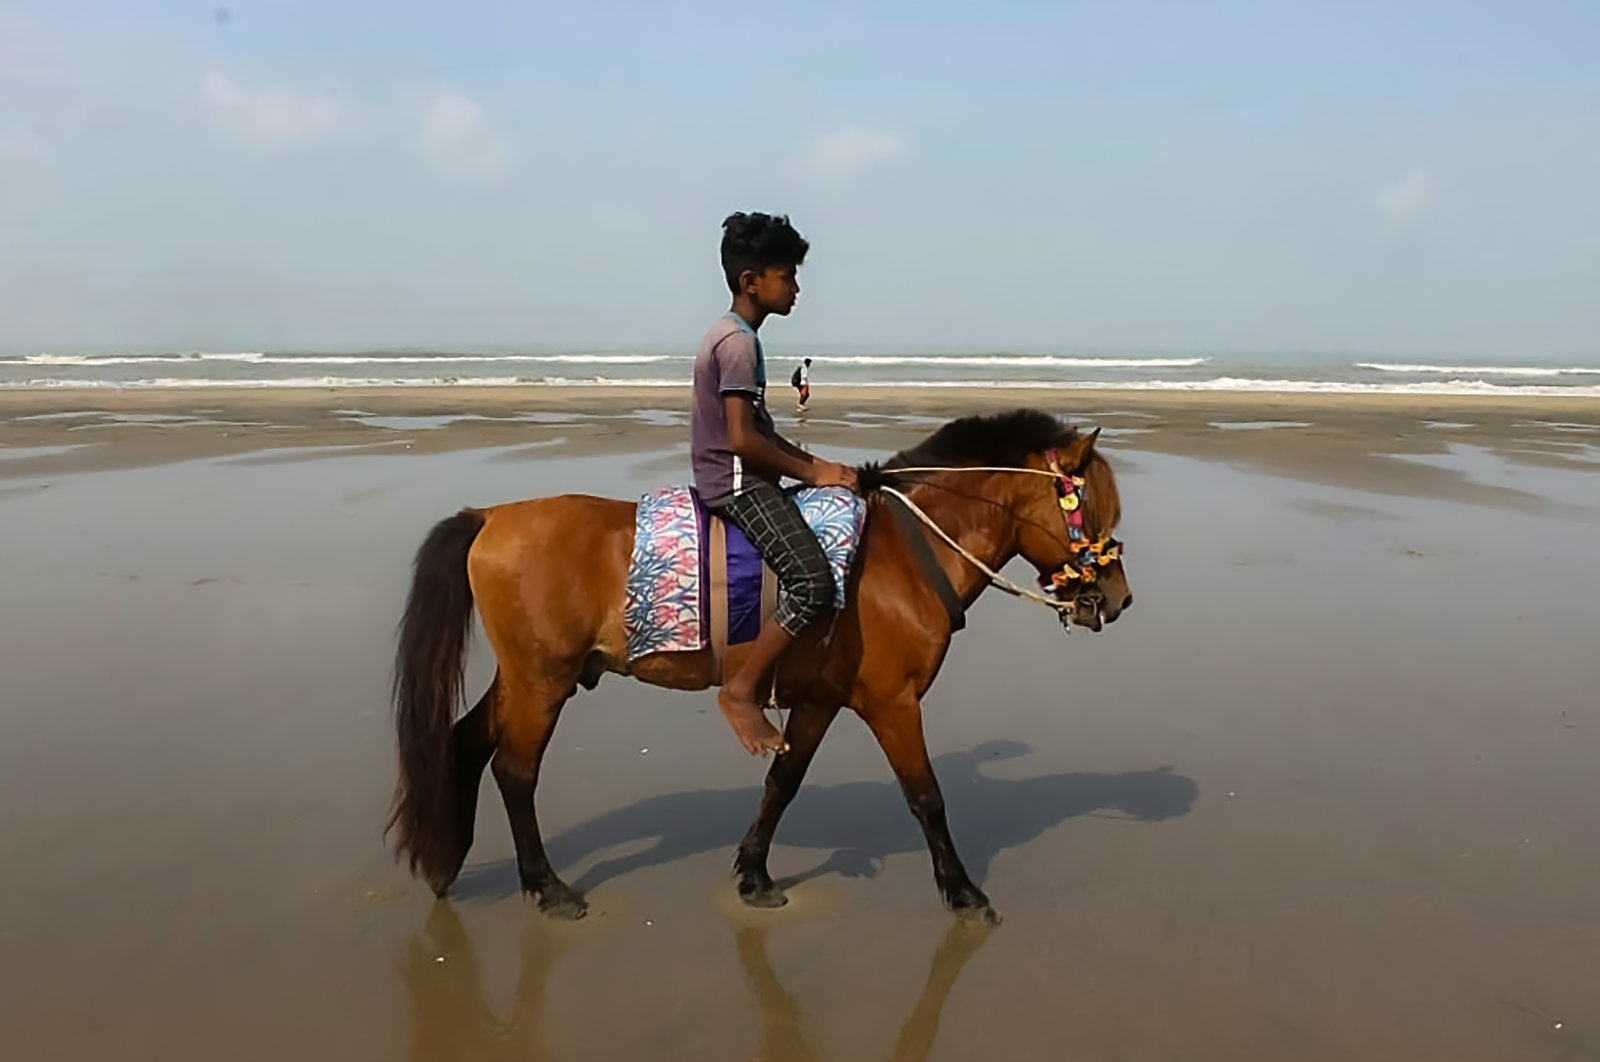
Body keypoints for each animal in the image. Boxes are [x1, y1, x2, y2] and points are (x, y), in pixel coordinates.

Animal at [388, 406, 1132, 921]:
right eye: (1093, 509)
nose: (1119, 598)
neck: (904, 554)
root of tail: (491, 515)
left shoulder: (820, 701)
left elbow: (783, 782)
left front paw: (754, 874)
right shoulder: (893, 703)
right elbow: (927, 797)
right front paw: (963, 890)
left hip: (526, 677)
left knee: (467, 741)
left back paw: (447, 858)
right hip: (543, 680)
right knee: (515, 771)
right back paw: (547, 887)